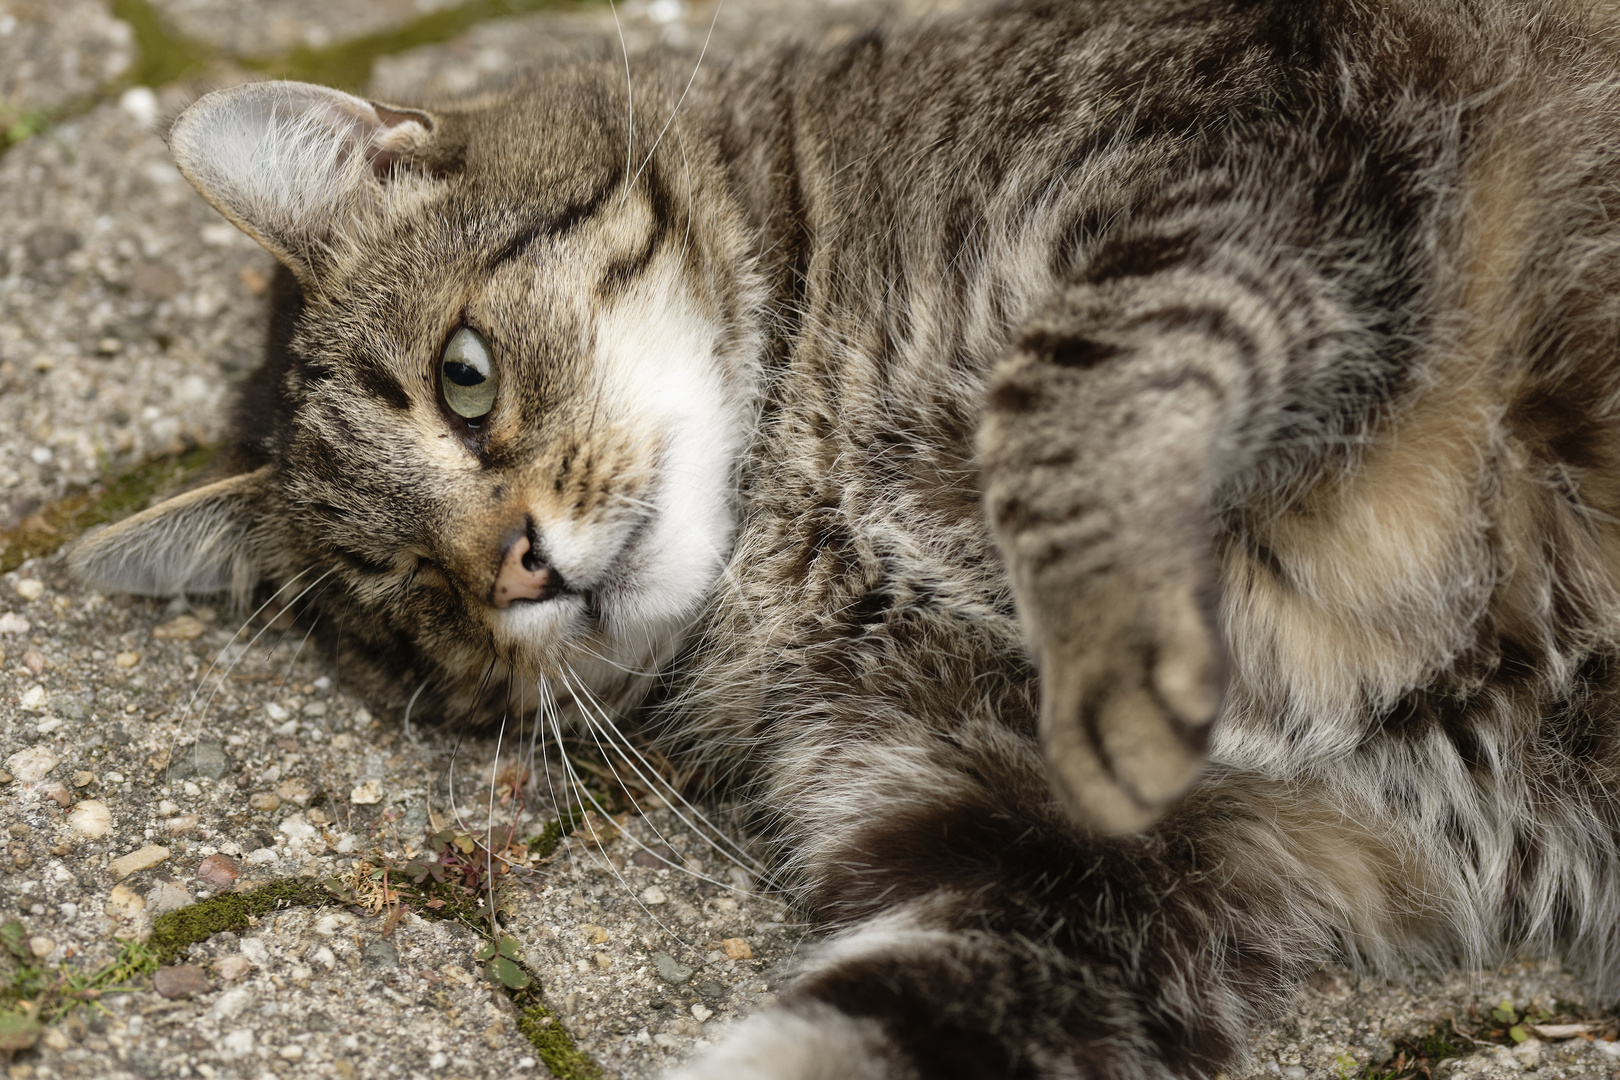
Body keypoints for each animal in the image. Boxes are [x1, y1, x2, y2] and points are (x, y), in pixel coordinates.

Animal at [69, 0, 1620, 1075]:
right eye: (407, 598)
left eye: (465, 378)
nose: (517, 568)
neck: (801, 528)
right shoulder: (1036, 863)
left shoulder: (1243, 145)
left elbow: (1069, 395)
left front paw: (1116, 626)